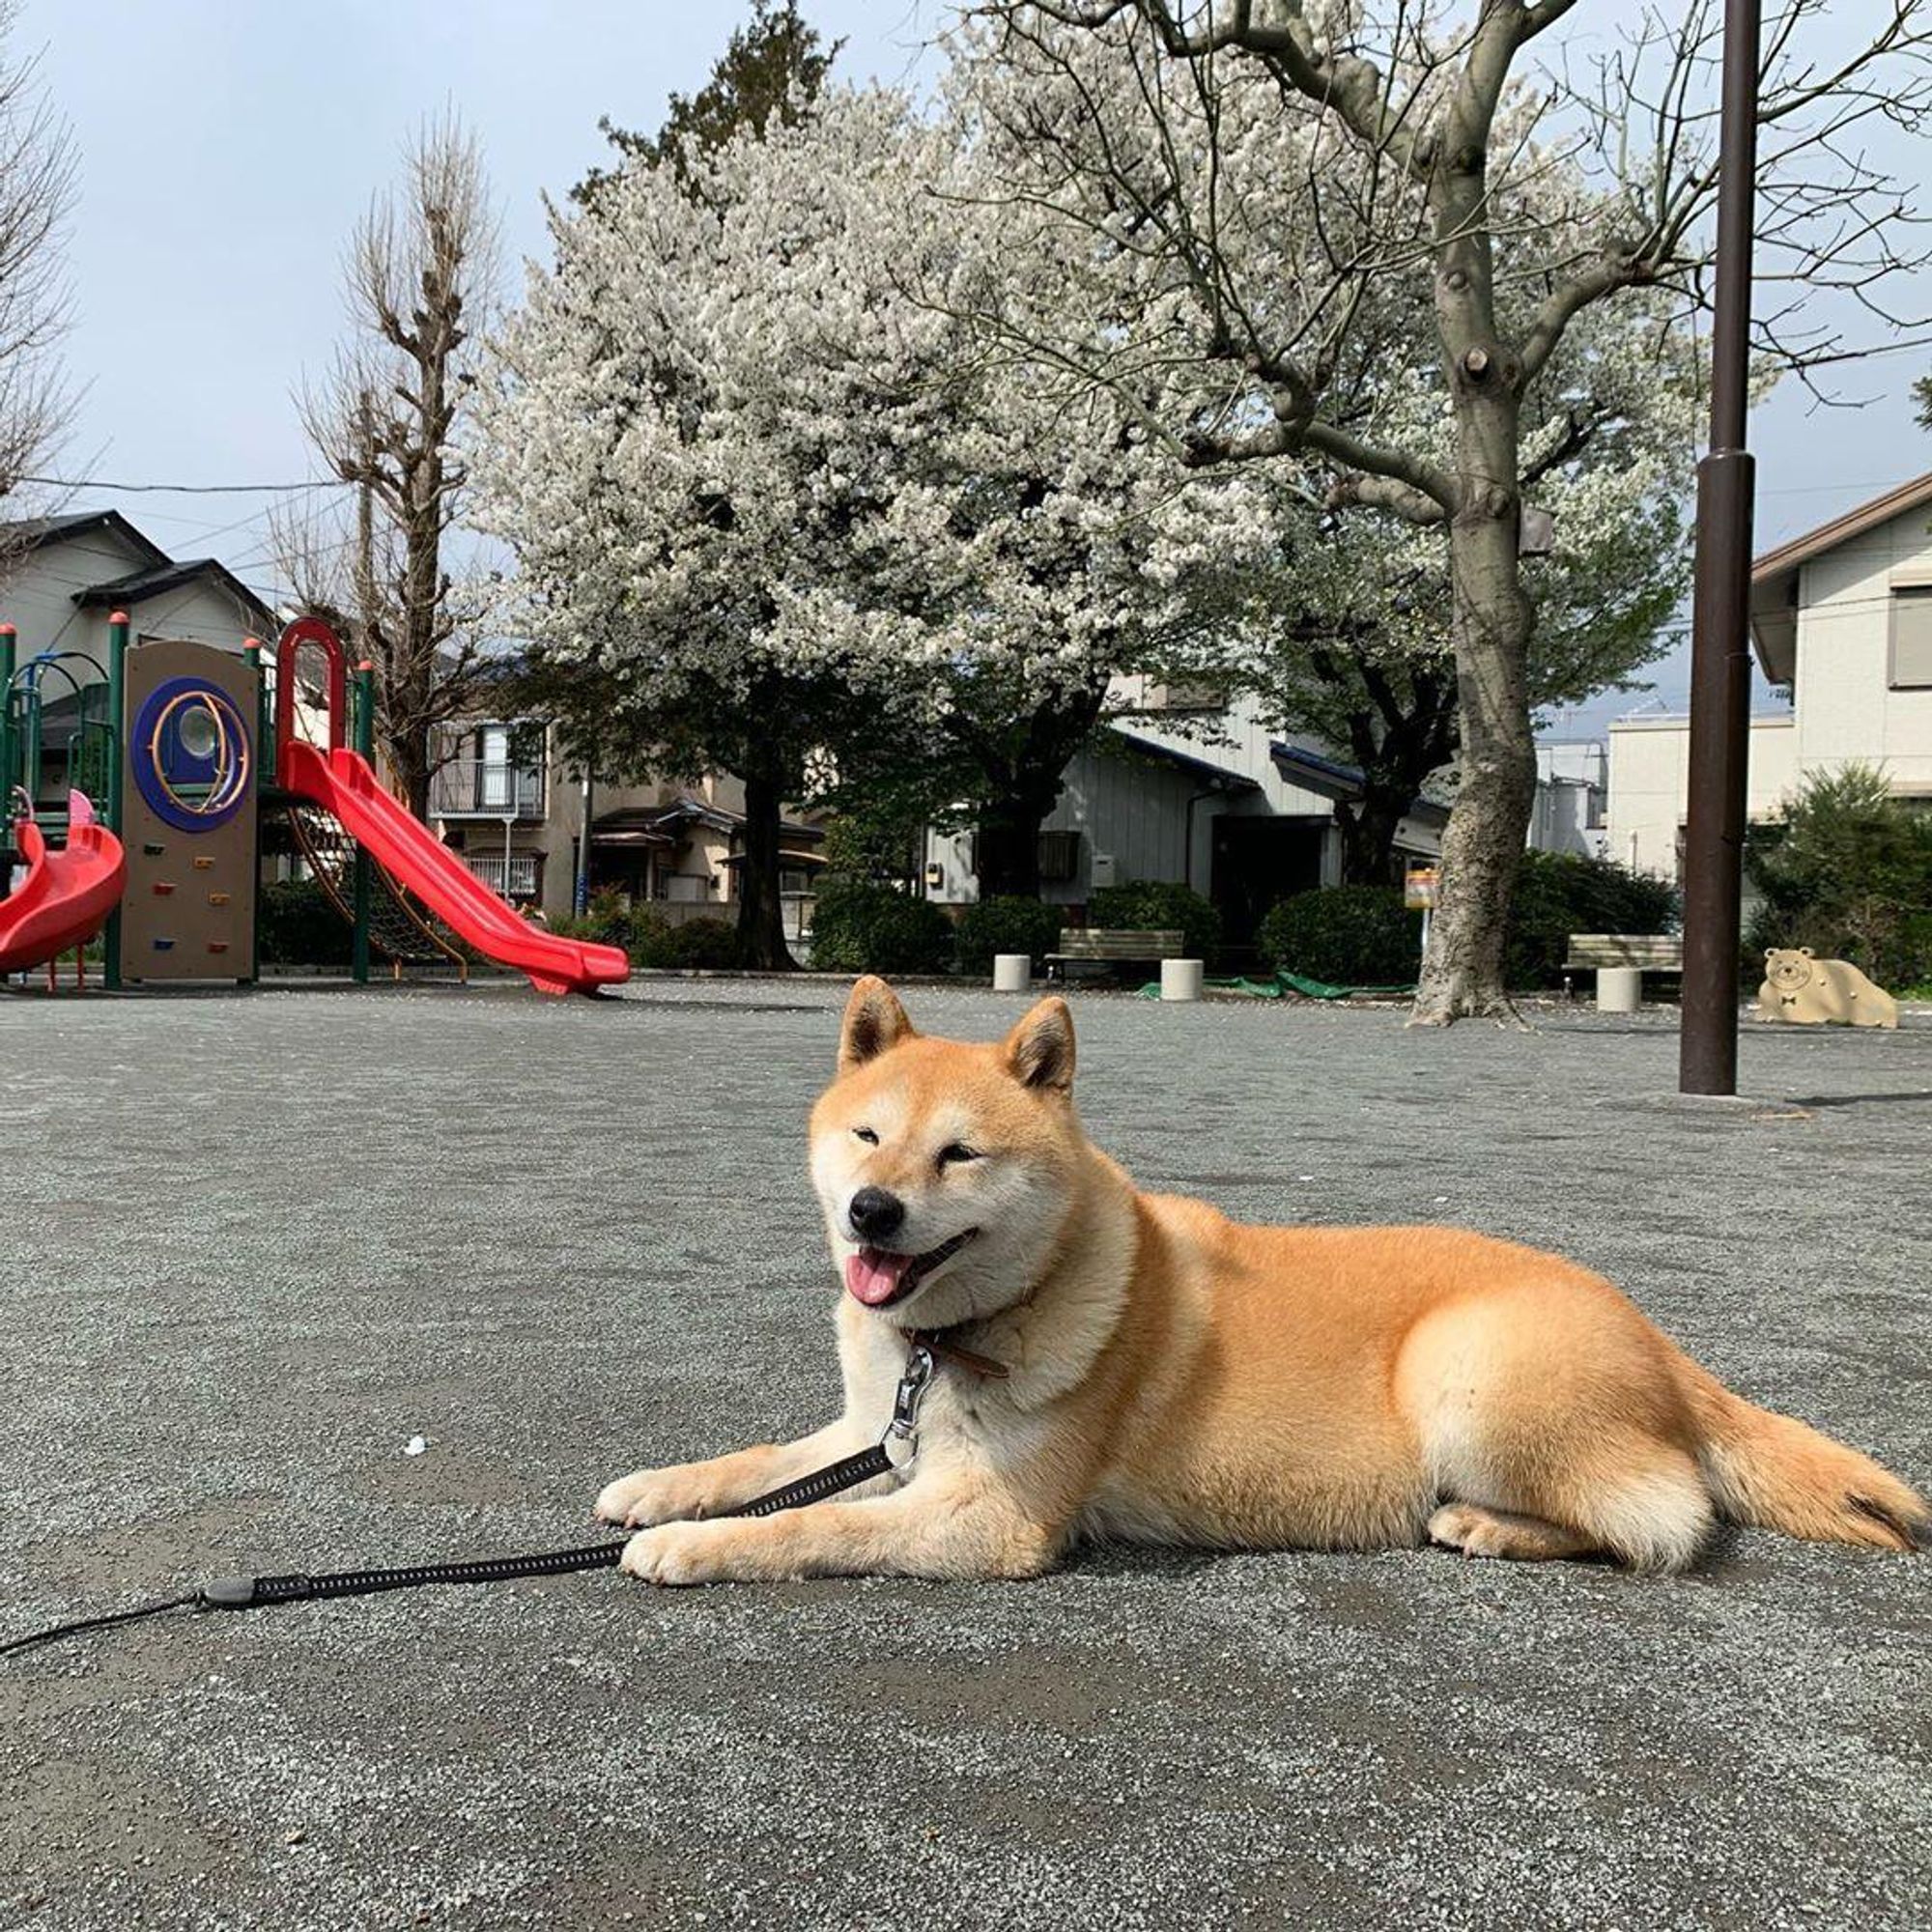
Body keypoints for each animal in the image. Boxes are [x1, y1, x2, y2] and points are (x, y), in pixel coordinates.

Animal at [595, 981, 1924, 1584]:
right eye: (867, 1137)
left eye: (957, 1153)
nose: (871, 1211)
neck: (948, 1337)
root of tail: (1655, 1337)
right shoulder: (877, 1426)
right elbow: (766, 1461)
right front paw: (661, 1488)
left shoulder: (992, 1518)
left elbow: (810, 1519)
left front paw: (692, 1546)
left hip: (1467, 1378)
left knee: (1664, 1519)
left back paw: (1488, 1522)